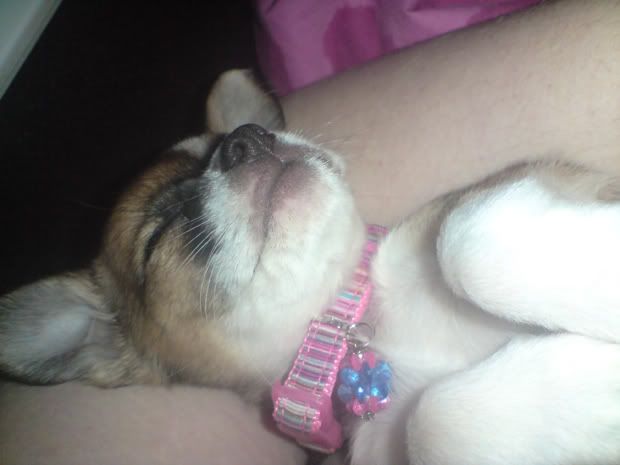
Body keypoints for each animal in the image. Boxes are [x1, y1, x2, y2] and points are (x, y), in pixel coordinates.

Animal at [1, 70, 619, 465]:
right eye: (157, 235)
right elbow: (438, 418)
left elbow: (469, 240)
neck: (368, 334)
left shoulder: (521, 191)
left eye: (222, 141)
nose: (246, 138)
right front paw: (595, 393)